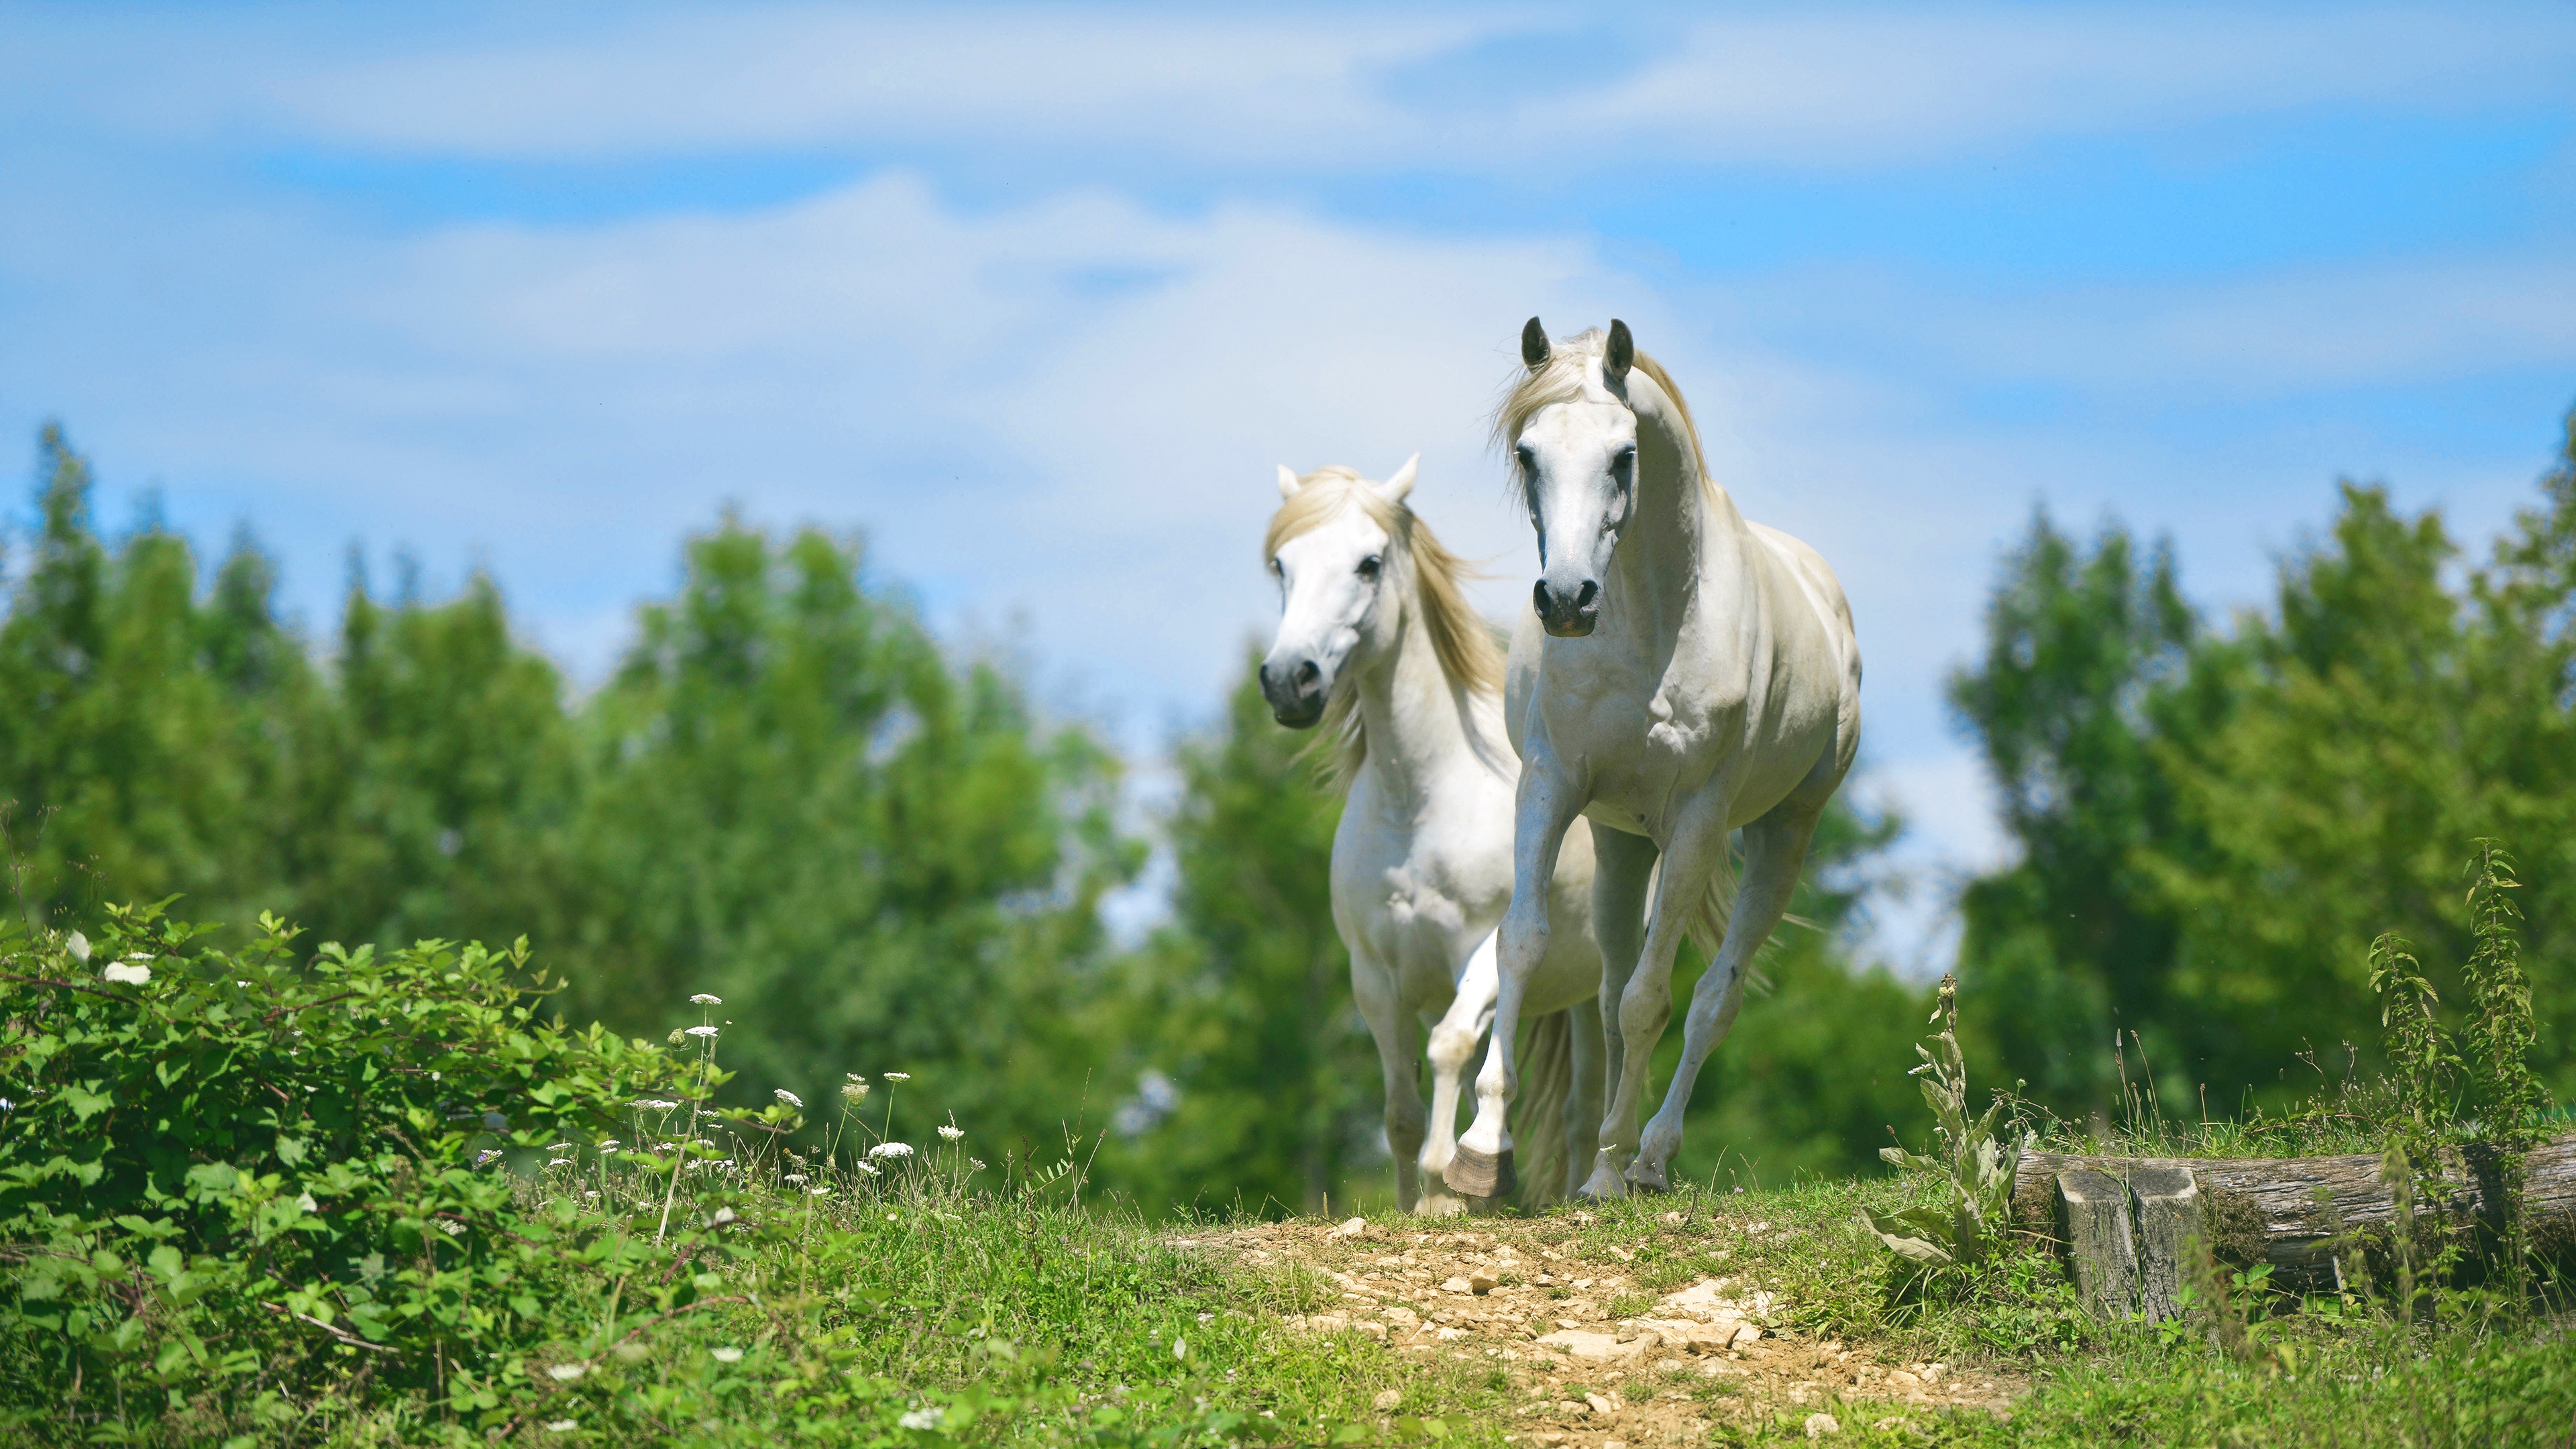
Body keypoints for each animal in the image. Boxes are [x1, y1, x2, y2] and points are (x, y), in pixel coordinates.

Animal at [1256, 459, 1597, 1206]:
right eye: (1281, 567)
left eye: (1369, 563)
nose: (1290, 681)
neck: (1421, 803)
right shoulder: (1373, 976)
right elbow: (1401, 1111)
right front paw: (1419, 1202)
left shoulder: (1481, 954)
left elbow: (1448, 1050)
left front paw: (1449, 1187)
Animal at [1452, 321, 1854, 1201]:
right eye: (1529, 454)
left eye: (1623, 456)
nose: (1567, 600)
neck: (1649, 620)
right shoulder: (1551, 786)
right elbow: (1521, 944)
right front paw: (1481, 1148)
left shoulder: (1699, 821)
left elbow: (1651, 1001)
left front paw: (1613, 1165)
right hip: (1622, 844)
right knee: (1608, 995)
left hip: (1782, 834)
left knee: (1710, 999)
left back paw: (1645, 1158)